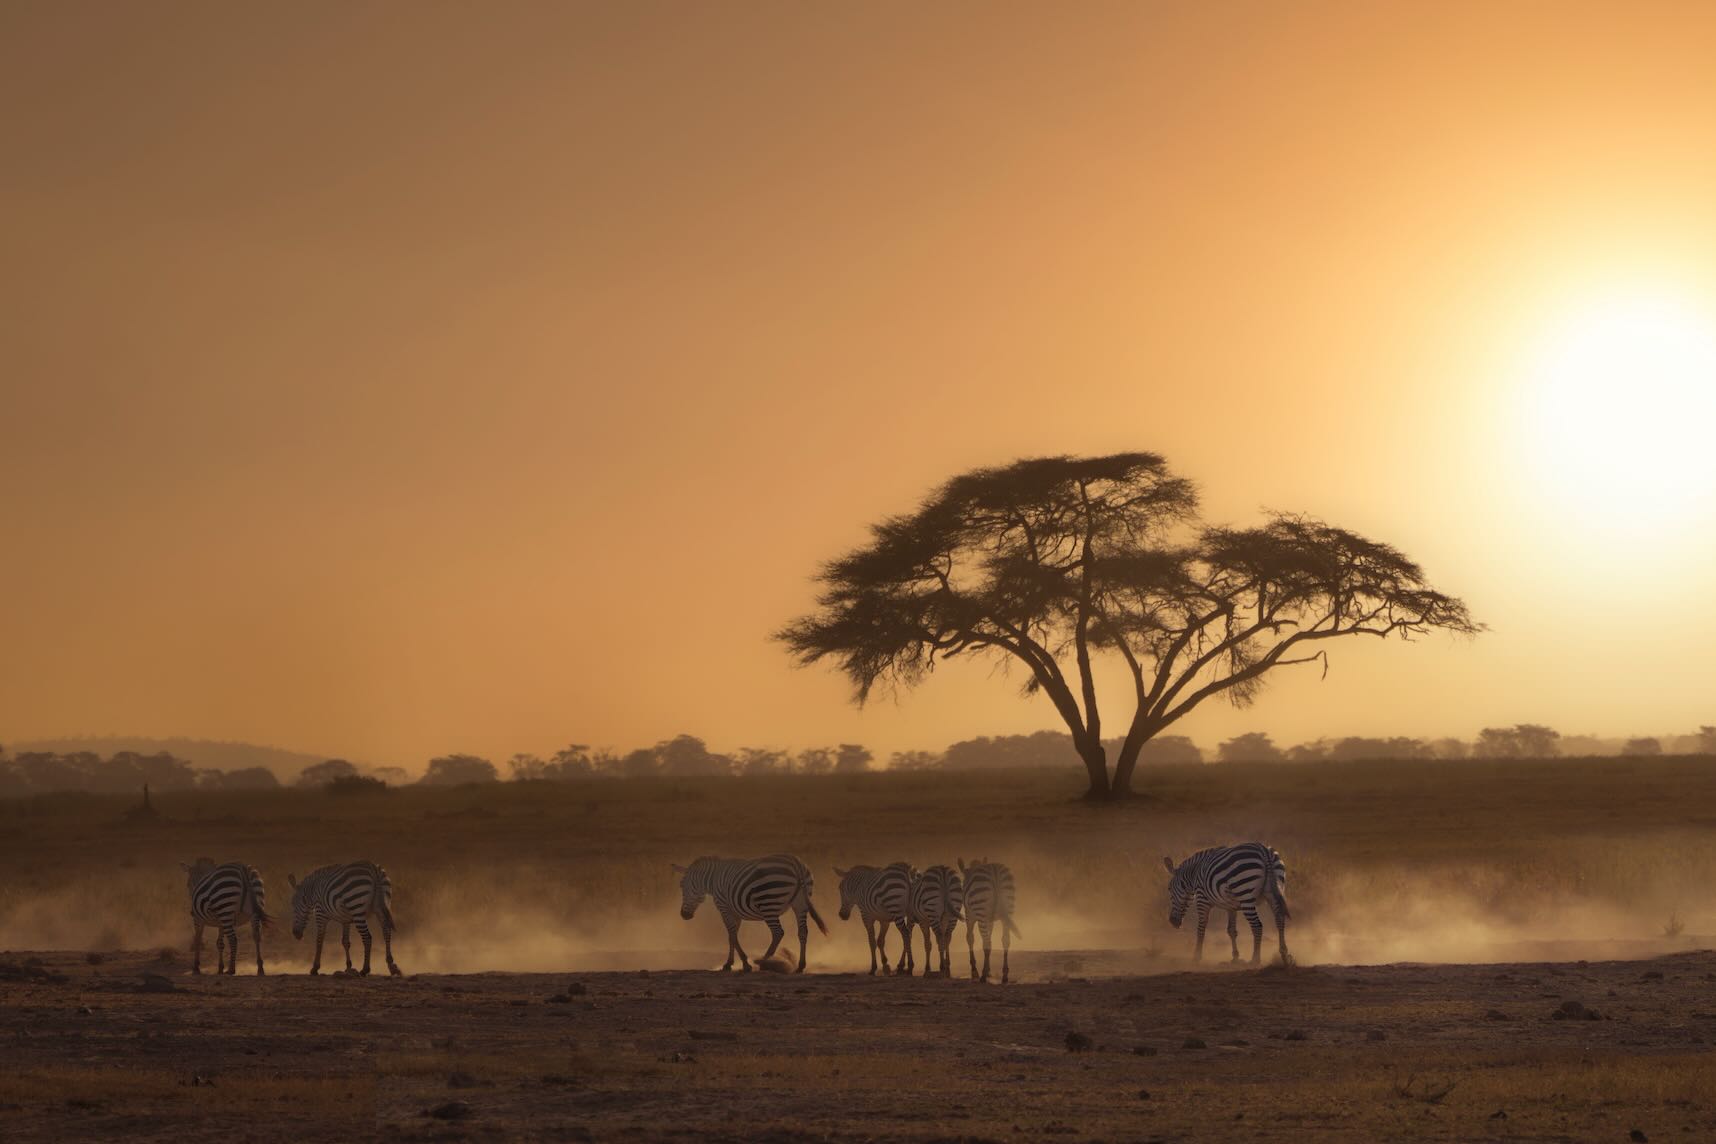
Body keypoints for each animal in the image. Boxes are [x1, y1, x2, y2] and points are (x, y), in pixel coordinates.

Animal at [674, 854, 829, 972]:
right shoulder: (735, 912)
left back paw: (764, 962)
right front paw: (729, 963)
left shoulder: (724, 907)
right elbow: (732, 936)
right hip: (800, 904)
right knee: (803, 931)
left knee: (778, 932)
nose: (684, 915)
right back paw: (801, 966)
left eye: (682, 885)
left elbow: (732, 934)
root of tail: (797, 865)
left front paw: (744, 963)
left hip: (769, 903)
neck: (713, 879)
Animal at [1162, 842, 1290, 965]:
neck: (1194, 873)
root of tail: (1264, 851)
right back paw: (1284, 954)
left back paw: (1255, 959)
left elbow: (1201, 927)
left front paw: (1196, 956)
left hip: (1245, 893)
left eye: (1169, 889)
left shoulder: (1202, 899)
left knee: (1257, 926)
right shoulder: (1231, 907)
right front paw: (1235, 957)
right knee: (1279, 919)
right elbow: (1231, 930)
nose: (1172, 922)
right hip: (1274, 890)